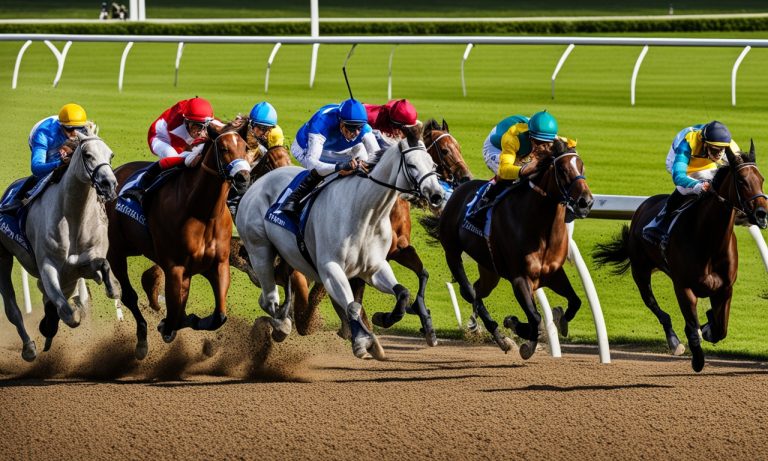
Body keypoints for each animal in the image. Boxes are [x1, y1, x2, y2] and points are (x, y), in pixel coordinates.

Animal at [0, 127, 120, 362]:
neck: (74, 216)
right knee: (13, 309)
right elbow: (68, 313)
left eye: (110, 155)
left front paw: (112, 287)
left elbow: (102, 265)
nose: (109, 185)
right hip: (3, 257)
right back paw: (29, 347)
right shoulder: (48, 267)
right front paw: (51, 323)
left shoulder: (81, 265)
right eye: (87, 155)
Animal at [104, 118, 249, 360]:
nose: (243, 177)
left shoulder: (217, 264)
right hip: (115, 251)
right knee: (129, 296)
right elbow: (174, 316)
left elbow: (218, 315)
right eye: (223, 148)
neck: (203, 212)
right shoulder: (175, 268)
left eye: (246, 148)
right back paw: (141, 340)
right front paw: (168, 325)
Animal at [238, 129, 444, 360]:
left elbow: (402, 293)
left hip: (288, 254)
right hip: (259, 249)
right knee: (268, 299)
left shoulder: (374, 268)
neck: (366, 213)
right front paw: (362, 341)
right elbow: (352, 306)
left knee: (279, 285)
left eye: (433, 164)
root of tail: (256, 183)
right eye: (411, 165)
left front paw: (382, 319)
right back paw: (281, 325)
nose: (437, 195)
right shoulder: (331, 269)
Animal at [420, 140, 592, 360]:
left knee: (477, 290)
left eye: (581, 166)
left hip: (490, 269)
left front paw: (556, 320)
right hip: (452, 252)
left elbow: (575, 302)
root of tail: (458, 190)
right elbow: (535, 317)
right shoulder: (520, 278)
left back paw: (481, 329)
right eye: (561, 169)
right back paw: (501, 338)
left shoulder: (553, 273)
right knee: (470, 292)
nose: (586, 202)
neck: (541, 228)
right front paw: (522, 335)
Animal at [592, 146, 768, 372]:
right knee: (654, 306)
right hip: (640, 271)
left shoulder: (725, 288)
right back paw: (674, 342)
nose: (761, 214)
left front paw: (708, 325)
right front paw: (698, 359)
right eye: (742, 181)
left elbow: (720, 329)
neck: (709, 240)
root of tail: (644, 205)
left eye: (761, 179)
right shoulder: (683, 287)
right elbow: (692, 328)